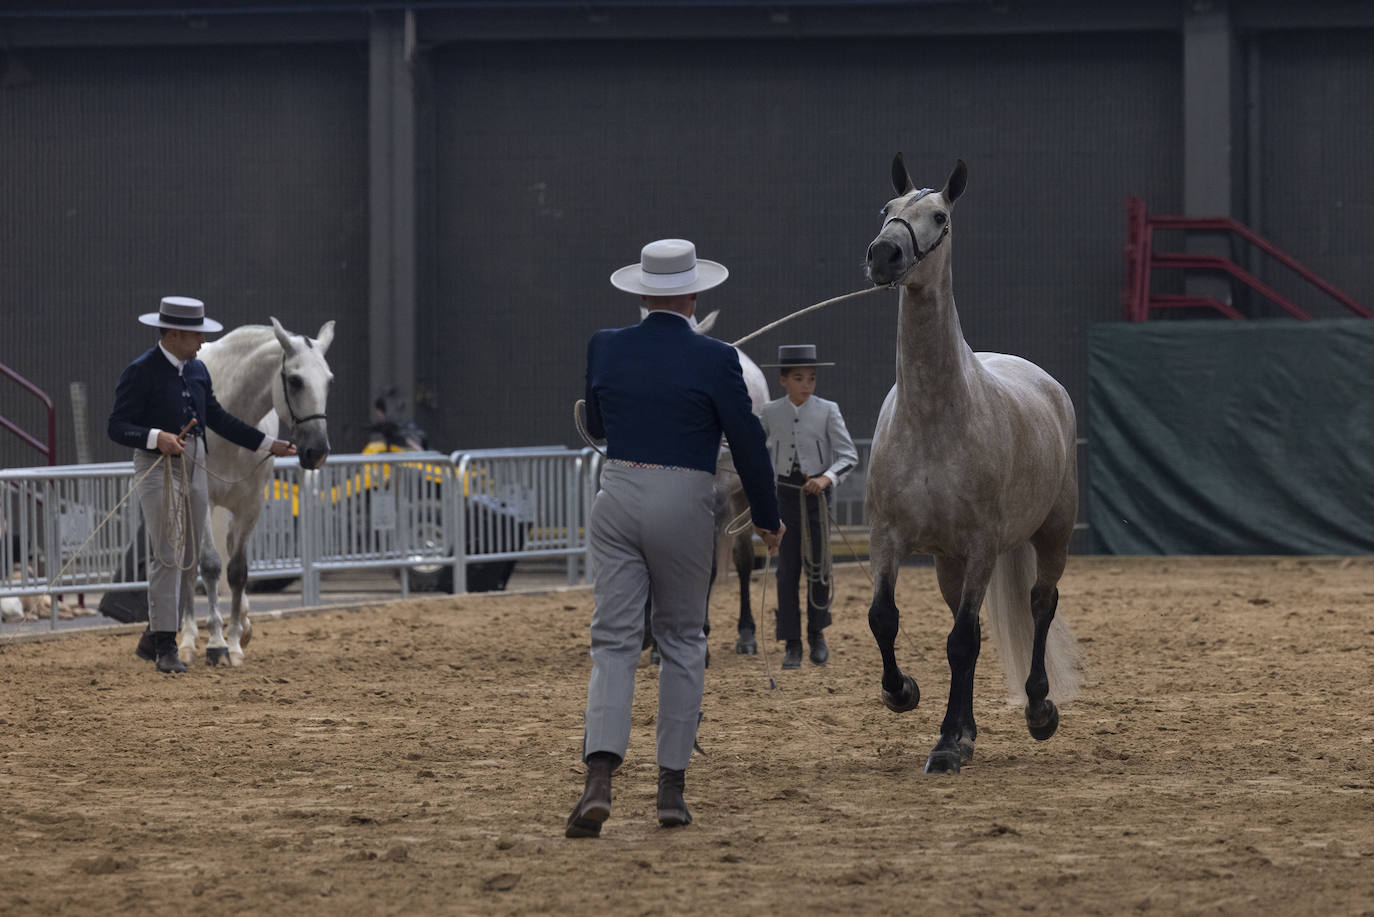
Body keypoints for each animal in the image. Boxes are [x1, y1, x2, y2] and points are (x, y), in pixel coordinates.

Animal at [175, 318, 333, 662]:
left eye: (329, 380)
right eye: (295, 380)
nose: (317, 452)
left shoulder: (251, 506)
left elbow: (237, 571)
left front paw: (235, 641)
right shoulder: (204, 500)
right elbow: (210, 565)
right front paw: (216, 643)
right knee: (188, 563)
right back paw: (188, 639)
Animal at [862, 156, 1077, 775]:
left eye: (940, 217)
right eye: (888, 209)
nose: (884, 255)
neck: (934, 418)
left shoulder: (982, 546)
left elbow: (960, 642)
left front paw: (946, 746)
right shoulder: (888, 538)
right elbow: (884, 618)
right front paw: (903, 693)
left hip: (1051, 536)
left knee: (1040, 605)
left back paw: (1038, 710)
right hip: (948, 563)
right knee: (976, 628)